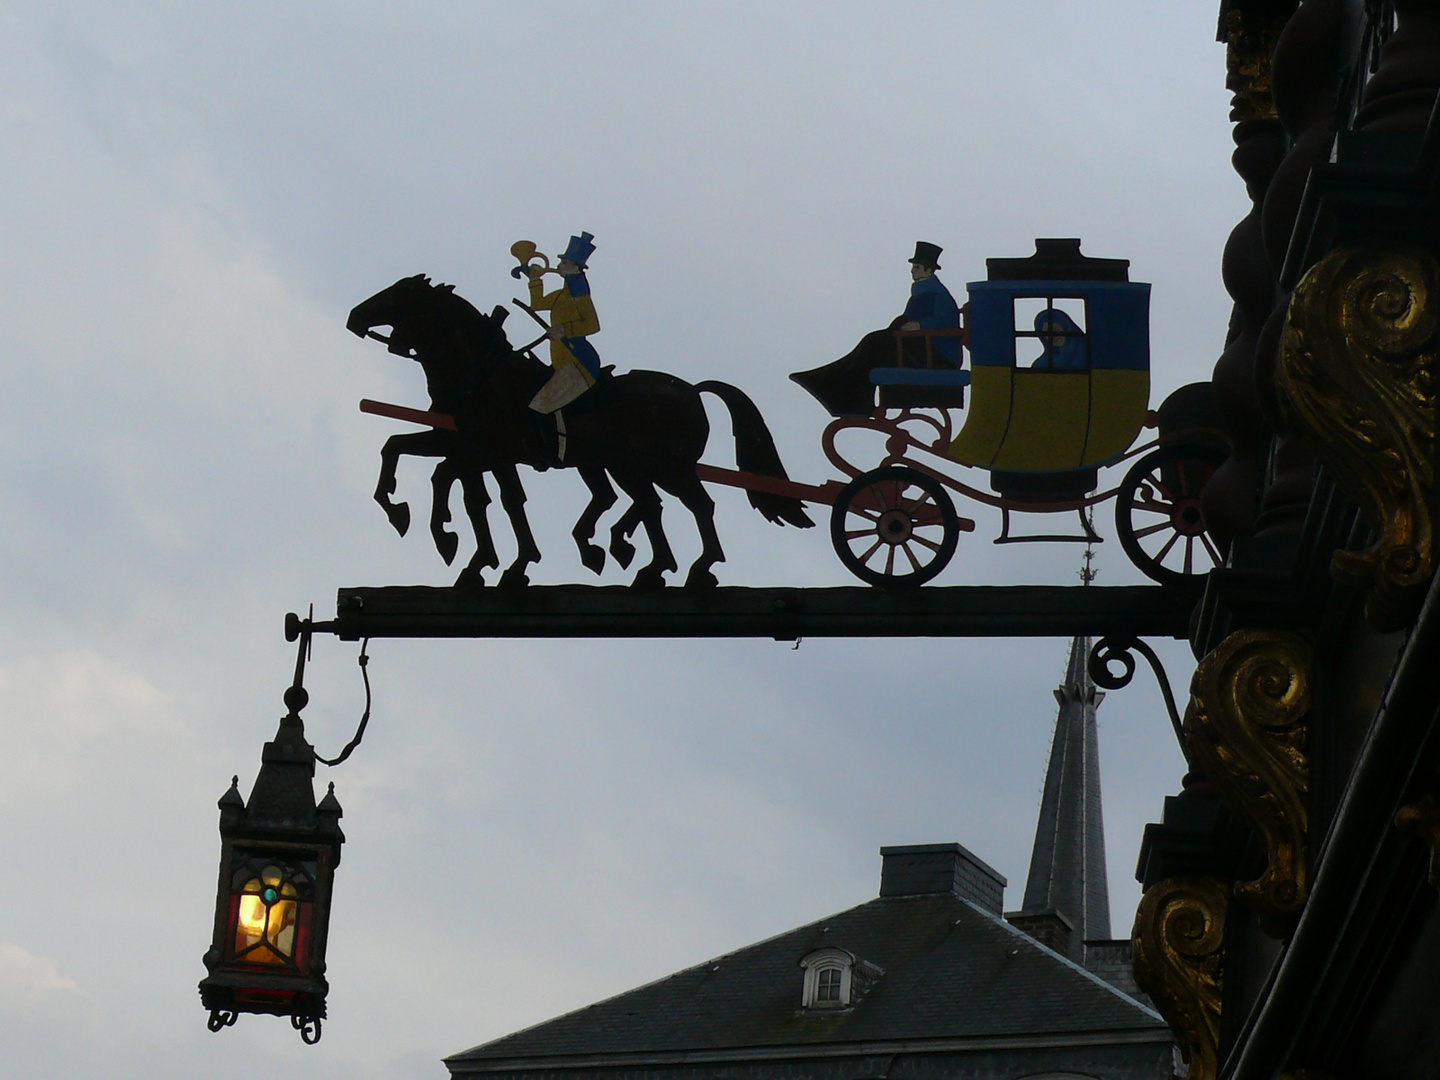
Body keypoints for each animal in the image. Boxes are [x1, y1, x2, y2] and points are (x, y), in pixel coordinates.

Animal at [348, 275, 812, 587]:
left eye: (397, 295)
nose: (355, 317)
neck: (481, 373)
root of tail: (692, 390)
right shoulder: (467, 444)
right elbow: (402, 451)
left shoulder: (486, 449)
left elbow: (470, 488)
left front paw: (459, 543)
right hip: (628, 467)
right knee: (648, 504)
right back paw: (646, 563)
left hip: (661, 468)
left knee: (694, 505)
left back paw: (693, 566)